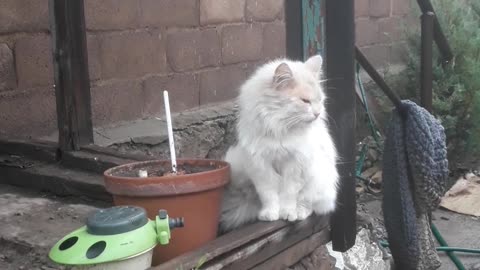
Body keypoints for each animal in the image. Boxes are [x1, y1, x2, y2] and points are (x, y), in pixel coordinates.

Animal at [219, 54, 340, 232]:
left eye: (320, 100)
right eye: (305, 101)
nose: (318, 113)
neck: (279, 128)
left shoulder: (295, 165)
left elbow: (289, 194)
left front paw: (288, 213)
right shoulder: (261, 166)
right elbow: (269, 194)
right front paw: (270, 214)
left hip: (318, 179)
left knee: (308, 204)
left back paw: (299, 213)